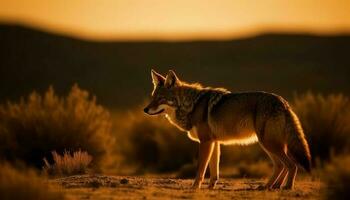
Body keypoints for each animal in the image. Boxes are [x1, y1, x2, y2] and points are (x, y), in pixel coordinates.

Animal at [143, 69, 312, 190]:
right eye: (152, 97)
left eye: (160, 99)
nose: (145, 110)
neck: (191, 105)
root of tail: (283, 102)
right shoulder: (214, 142)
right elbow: (214, 171)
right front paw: (211, 187)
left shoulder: (206, 141)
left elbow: (200, 169)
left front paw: (194, 187)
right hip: (270, 145)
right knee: (281, 165)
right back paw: (270, 186)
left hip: (268, 143)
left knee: (291, 164)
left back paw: (286, 187)